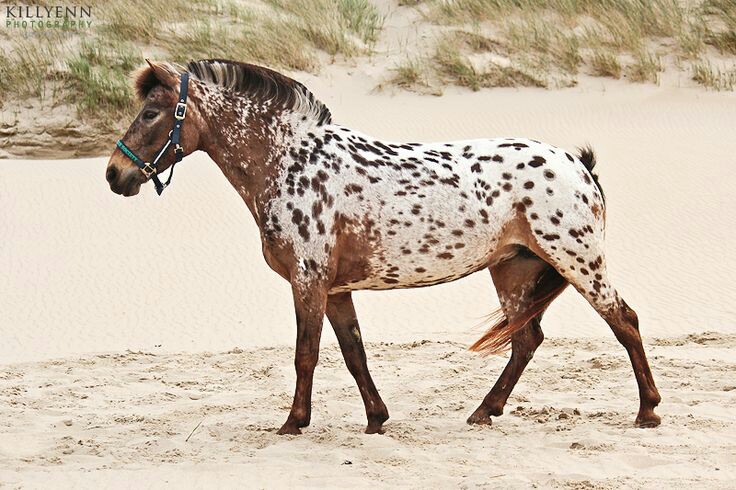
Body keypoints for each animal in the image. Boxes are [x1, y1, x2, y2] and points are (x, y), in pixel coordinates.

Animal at [105, 59, 660, 434]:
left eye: (151, 112)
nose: (115, 174)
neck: (290, 161)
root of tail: (577, 163)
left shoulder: (309, 281)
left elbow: (305, 355)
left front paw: (293, 423)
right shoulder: (335, 290)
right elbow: (354, 354)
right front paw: (376, 419)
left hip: (578, 261)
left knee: (624, 321)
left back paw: (647, 411)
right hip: (513, 270)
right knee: (527, 341)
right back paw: (484, 411)